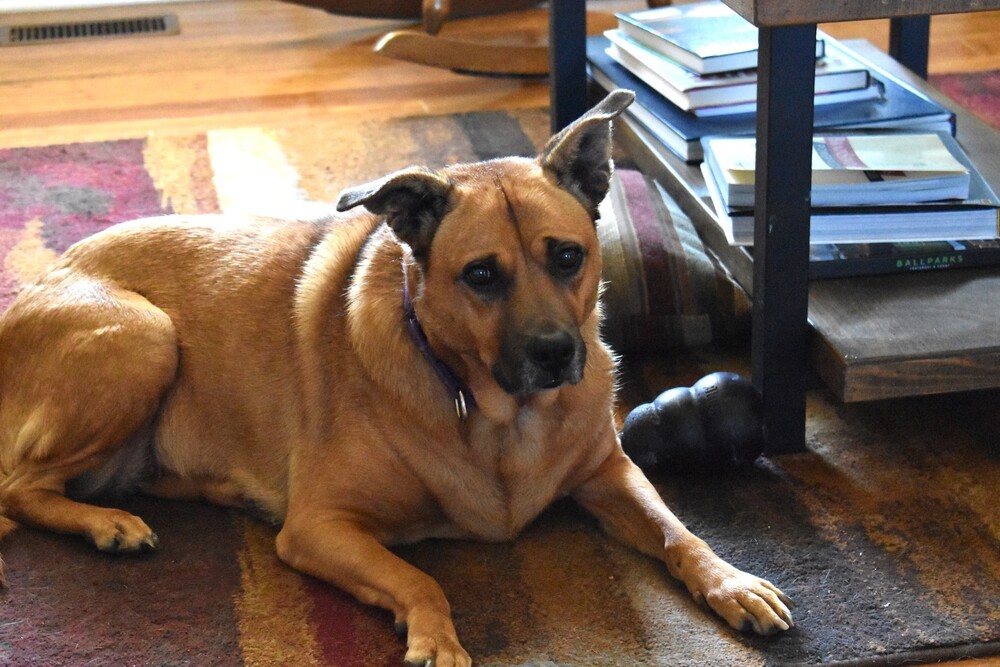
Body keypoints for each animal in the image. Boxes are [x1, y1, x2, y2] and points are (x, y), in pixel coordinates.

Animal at [0, 91, 788, 664]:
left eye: (568, 256)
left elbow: (677, 531)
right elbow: (419, 577)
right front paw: (438, 640)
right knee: (18, 488)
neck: (502, 417)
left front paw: (731, 581)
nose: (557, 354)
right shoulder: (318, 526)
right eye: (481, 276)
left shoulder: (609, 472)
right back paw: (108, 523)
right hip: (146, 338)